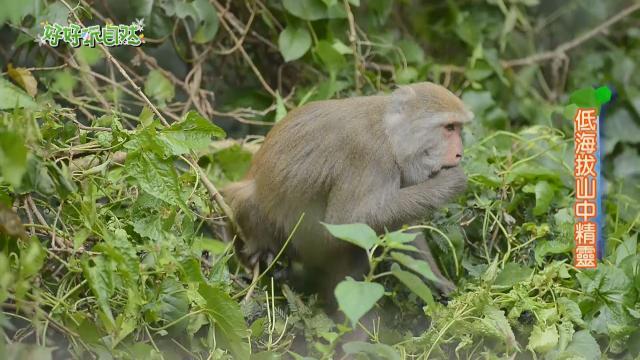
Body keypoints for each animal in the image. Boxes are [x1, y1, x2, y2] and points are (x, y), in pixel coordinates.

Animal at [222, 81, 472, 300]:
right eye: (449, 127)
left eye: (459, 129)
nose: (459, 153)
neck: (390, 135)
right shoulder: (369, 156)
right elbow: (345, 221)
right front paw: (451, 182)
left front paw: (437, 280)